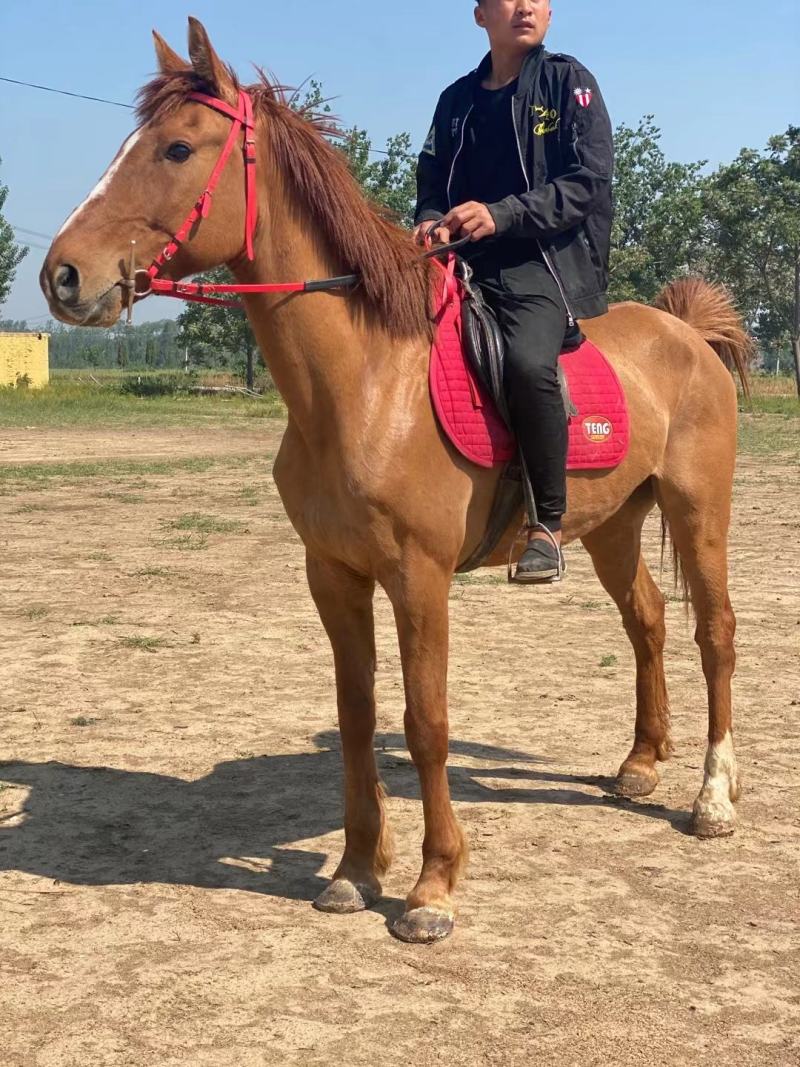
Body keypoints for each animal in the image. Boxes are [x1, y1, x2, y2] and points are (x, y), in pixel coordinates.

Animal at [40, 18, 751, 944]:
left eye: (178, 147)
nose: (62, 275)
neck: (368, 382)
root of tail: (686, 333)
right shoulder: (334, 575)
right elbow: (356, 718)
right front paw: (352, 869)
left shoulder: (420, 578)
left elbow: (425, 722)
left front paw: (432, 887)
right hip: (612, 526)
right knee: (648, 622)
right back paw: (639, 763)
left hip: (699, 513)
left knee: (715, 635)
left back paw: (713, 799)